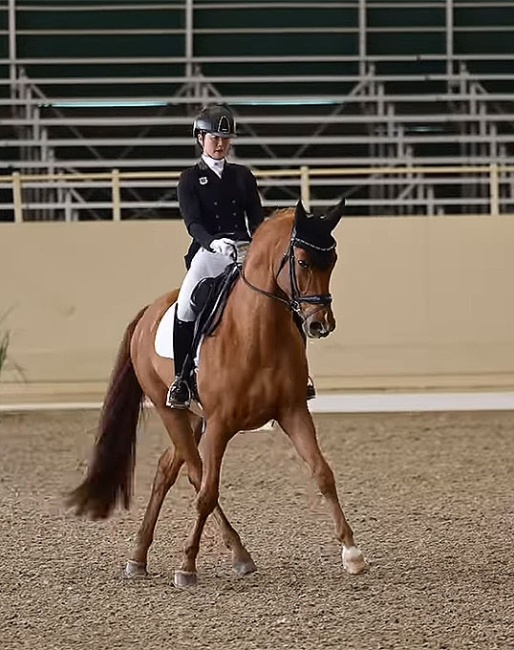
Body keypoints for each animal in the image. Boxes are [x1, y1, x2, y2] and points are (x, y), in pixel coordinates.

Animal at [67, 199, 368, 587]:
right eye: (302, 261)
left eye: (331, 261)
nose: (320, 324)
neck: (257, 333)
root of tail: (149, 311)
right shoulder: (221, 424)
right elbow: (208, 491)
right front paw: (186, 567)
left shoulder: (293, 411)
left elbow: (323, 474)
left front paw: (352, 553)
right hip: (172, 410)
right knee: (196, 475)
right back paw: (232, 554)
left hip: (196, 418)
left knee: (167, 468)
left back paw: (140, 556)